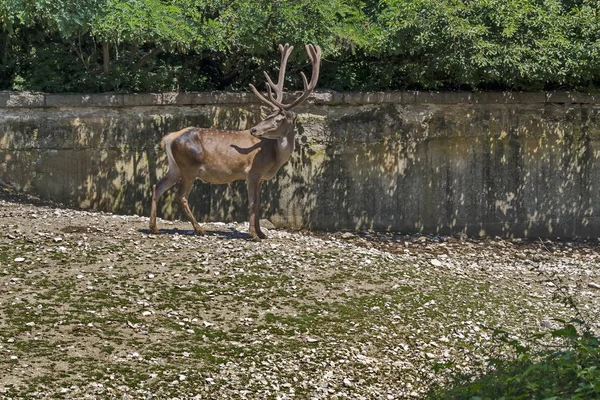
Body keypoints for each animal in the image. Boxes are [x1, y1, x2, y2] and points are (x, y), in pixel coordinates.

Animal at [148, 45, 322, 241]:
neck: (274, 158)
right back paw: (200, 229)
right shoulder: (253, 171)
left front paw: (262, 233)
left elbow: (259, 203)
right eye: (268, 116)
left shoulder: (261, 177)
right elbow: (253, 202)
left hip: (175, 167)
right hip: (189, 166)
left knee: (157, 186)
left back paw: (154, 227)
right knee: (181, 195)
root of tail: (169, 138)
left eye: (277, 120)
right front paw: (253, 234)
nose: (254, 130)